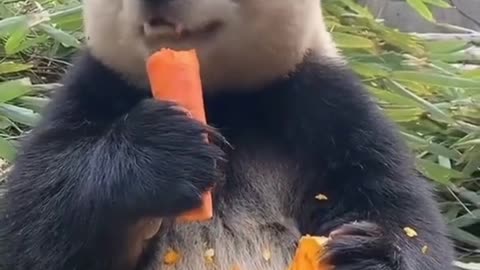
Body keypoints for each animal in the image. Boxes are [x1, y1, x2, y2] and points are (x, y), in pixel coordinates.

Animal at [0, 0, 454, 268]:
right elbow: (34, 221)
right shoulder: (94, 90)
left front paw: (367, 252)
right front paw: (166, 152)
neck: (219, 96)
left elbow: (400, 208)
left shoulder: (325, 104)